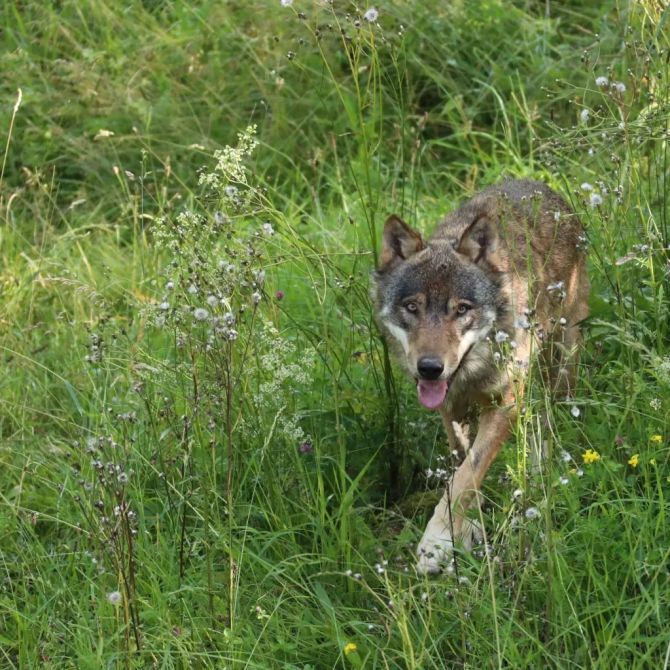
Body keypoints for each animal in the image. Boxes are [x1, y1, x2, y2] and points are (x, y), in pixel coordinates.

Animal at [376, 180, 592, 576]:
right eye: (412, 307)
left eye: (462, 309)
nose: (429, 368)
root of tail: (541, 185)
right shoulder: (450, 408)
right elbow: (464, 468)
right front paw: (465, 529)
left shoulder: (504, 403)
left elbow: (467, 475)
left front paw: (436, 542)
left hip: (562, 357)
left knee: (553, 415)